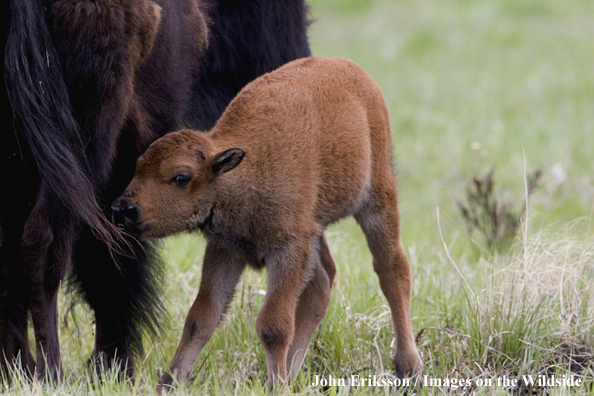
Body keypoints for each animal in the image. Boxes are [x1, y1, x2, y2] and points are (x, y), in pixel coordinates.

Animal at [112, 55, 420, 390]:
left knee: (392, 271)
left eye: (181, 177)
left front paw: (276, 385)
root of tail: (350, 69)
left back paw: (409, 367)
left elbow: (273, 325)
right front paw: (170, 382)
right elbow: (201, 318)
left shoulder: (287, 248)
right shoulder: (226, 251)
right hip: (315, 229)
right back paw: (294, 373)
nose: (124, 209)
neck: (239, 172)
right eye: (137, 167)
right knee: (321, 283)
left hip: (377, 199)